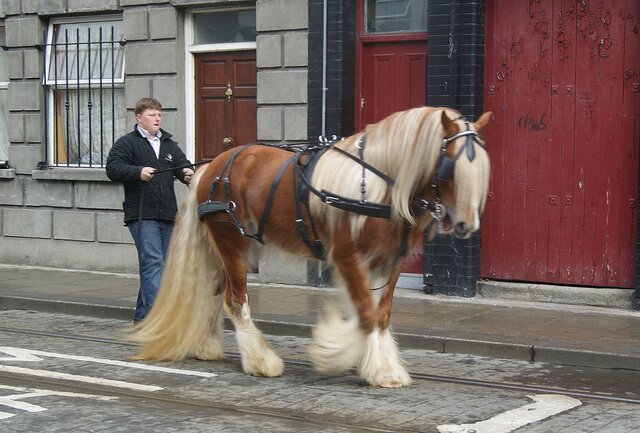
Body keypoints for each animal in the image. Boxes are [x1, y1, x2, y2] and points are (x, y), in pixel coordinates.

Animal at [129, 105, 490, 388]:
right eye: (451, 166)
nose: (467, 225)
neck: (376, 186)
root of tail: (213, 165)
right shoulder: (347, 256)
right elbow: (365, 313)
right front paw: (337, 352)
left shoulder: (388, 262)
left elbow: (381, 315)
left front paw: (378, 365)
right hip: (232, 242)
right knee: (236, 299)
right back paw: (261, 361)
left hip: (225, 249)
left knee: (215, 291)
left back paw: (207, 347)